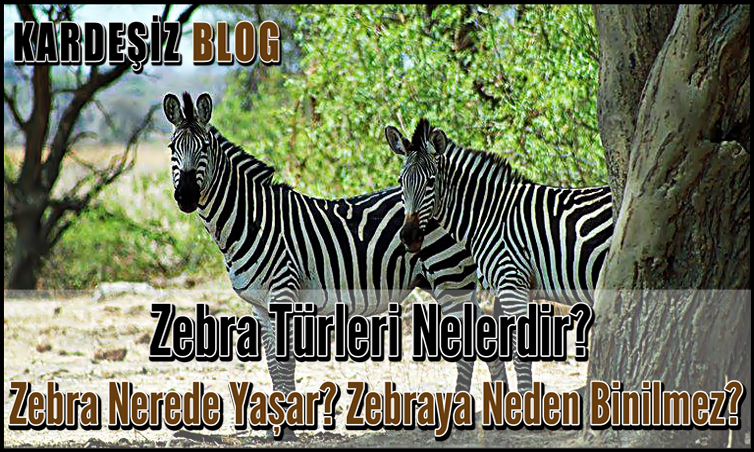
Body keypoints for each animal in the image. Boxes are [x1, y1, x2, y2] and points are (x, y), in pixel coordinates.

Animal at [162, 93, 507, 420]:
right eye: (171, 147)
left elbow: (286, 367)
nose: (186, 197)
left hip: (450, 276)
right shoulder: (259, 305)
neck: (252, 219)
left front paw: (289, 427)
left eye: (205, 147)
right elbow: (273, 366)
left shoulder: (283, 293)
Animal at [385, 118, 613, 393]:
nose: (409, 237)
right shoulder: (511, 287)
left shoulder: (511, 282)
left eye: (431, 182)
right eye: (400, 182)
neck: (491, 215)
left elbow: (520, 354)